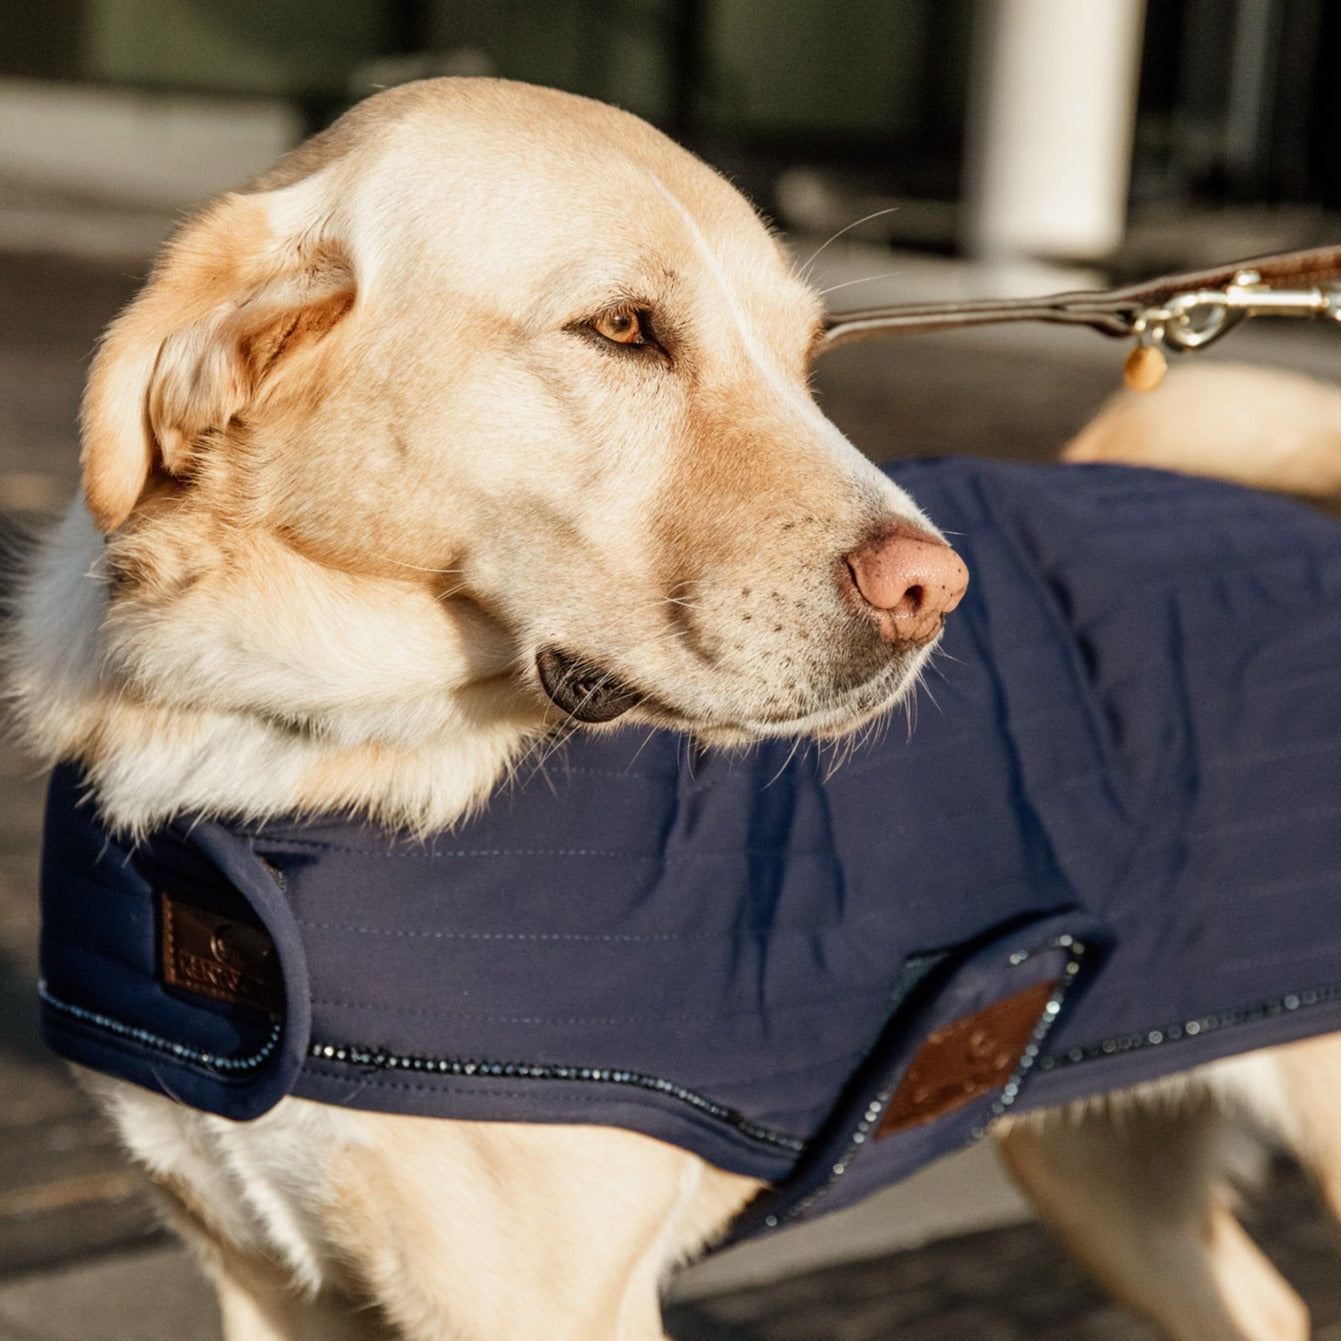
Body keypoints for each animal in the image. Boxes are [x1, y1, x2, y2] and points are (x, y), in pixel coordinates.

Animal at [10, 78, 1341, 1341]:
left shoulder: (537, 1303)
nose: (936, 593)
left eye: (806, 357)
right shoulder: (267, 1277)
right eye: (620, 328)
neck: (280, 749)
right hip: (1093, 1159)